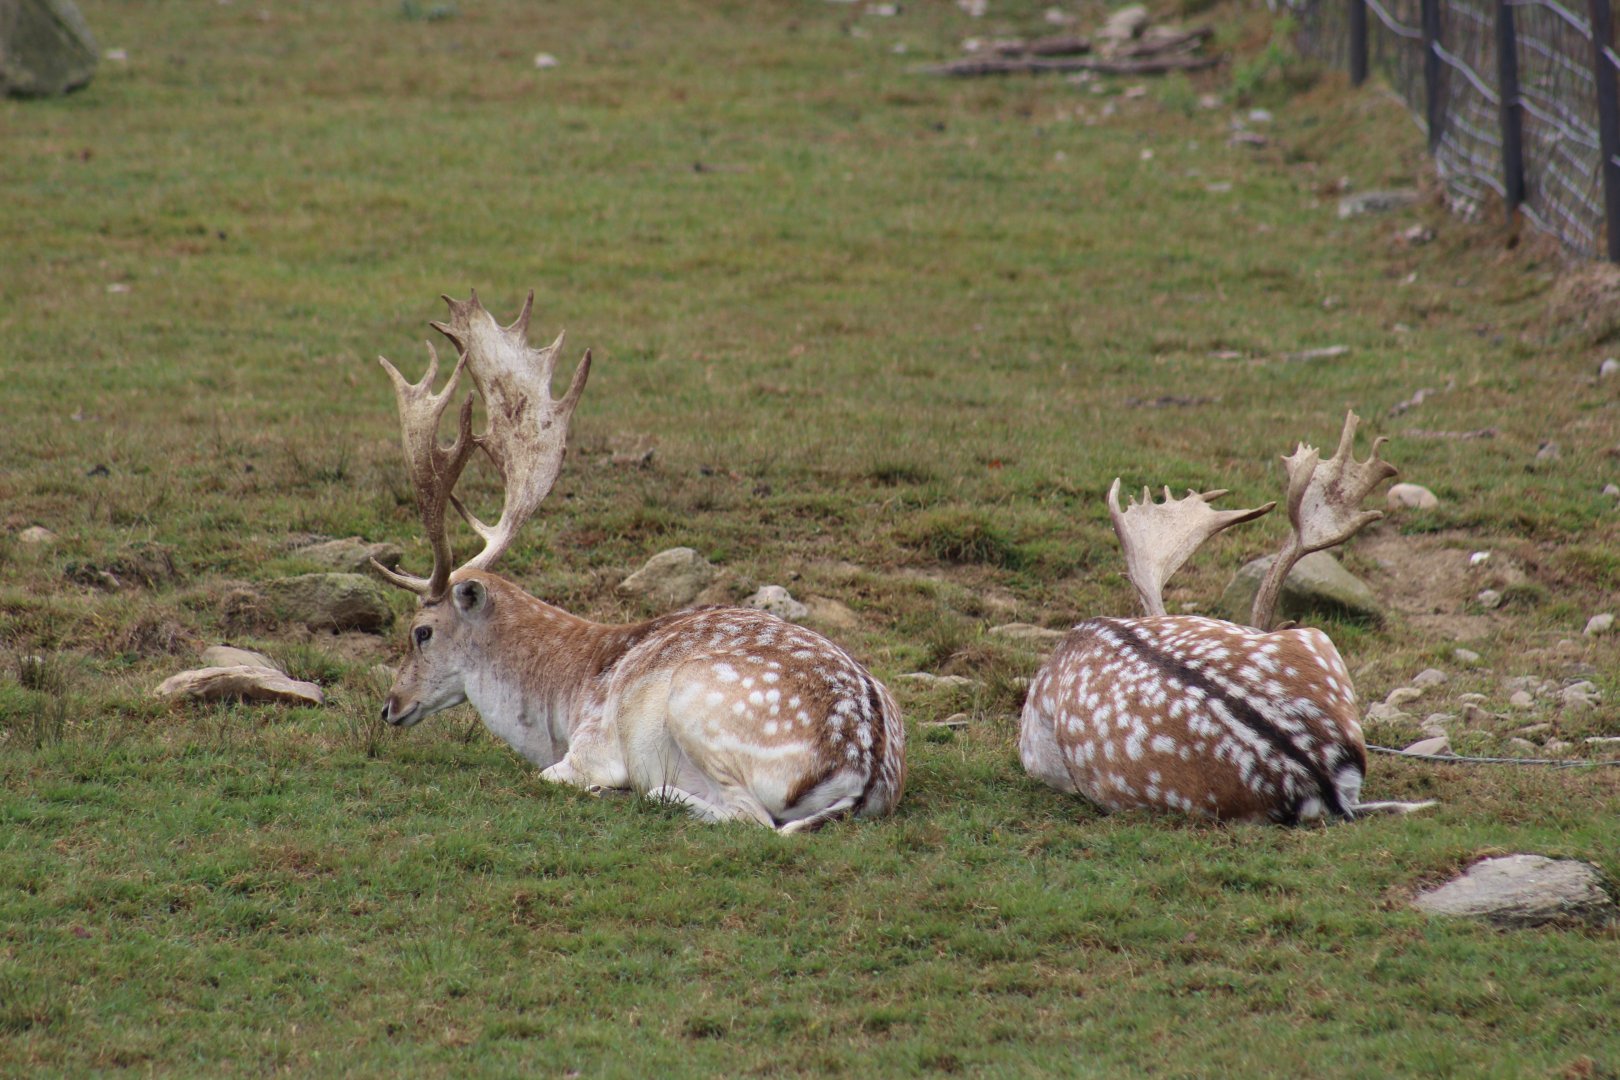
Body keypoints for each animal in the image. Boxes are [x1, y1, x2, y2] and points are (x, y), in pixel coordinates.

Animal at [371, 291, 905, 832]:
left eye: (421, 632)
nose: (390, 707)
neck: (563, 703)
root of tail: (862, 770)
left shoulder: (590, 748)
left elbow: (553, 775)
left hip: (694, 701)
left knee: (749, 817)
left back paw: (651, 792)